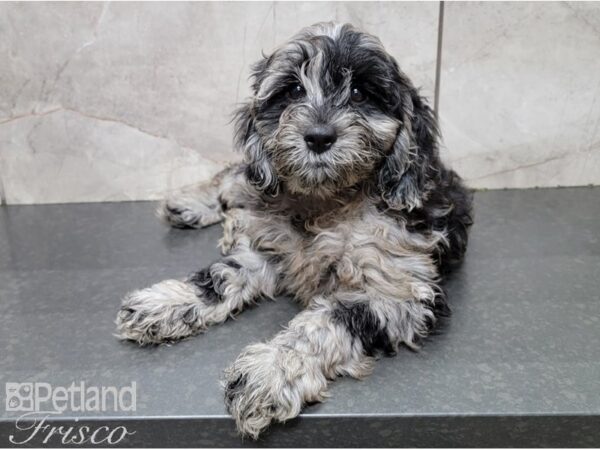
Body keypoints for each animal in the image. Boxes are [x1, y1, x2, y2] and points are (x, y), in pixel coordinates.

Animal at [116, 22, 474, 438]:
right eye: (293, 91)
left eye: (359, 93)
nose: (318, 136)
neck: (326, 202)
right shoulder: (268, 250)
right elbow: (220, 275)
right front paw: (165, 302)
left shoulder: (398, 292)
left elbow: (322, 323)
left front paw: (271, 369)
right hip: (256, 181)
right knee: (236, 177)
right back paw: (188, 203)